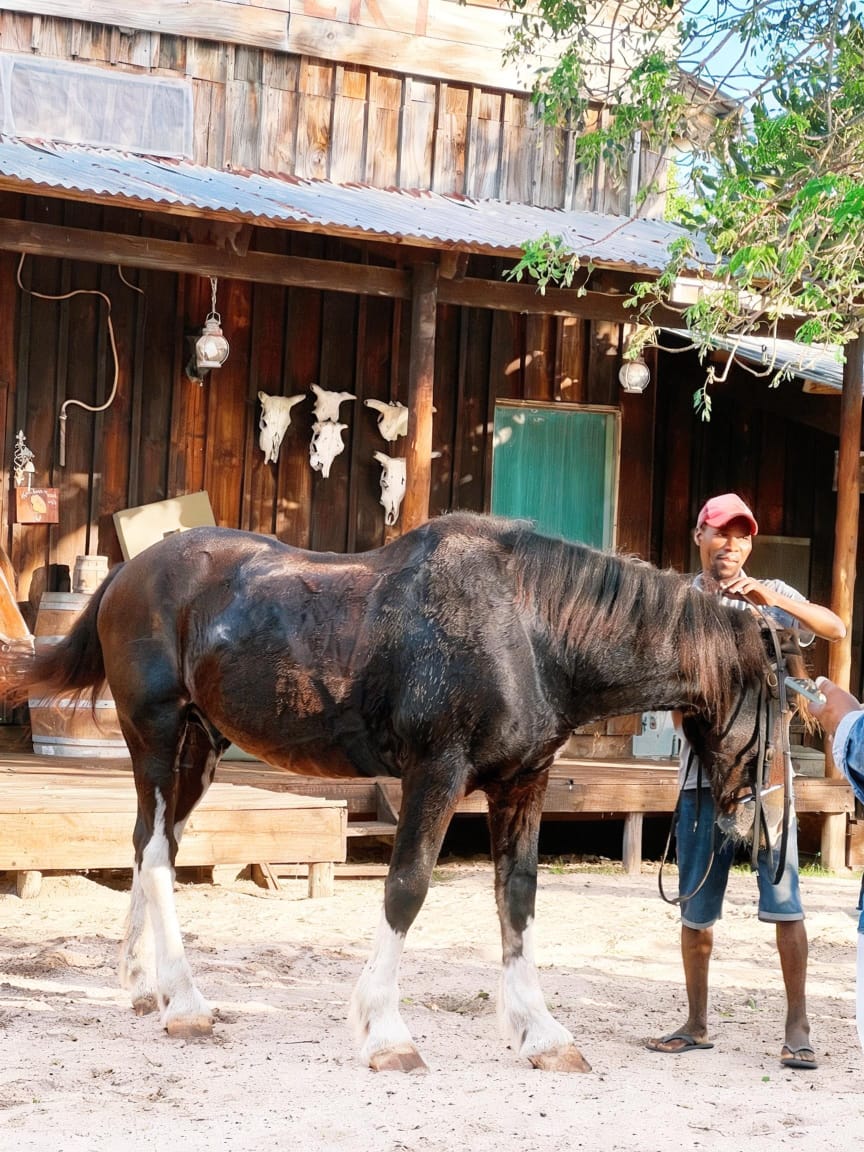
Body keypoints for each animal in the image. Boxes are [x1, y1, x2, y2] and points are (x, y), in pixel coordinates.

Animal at [0, 511, 798, 1073]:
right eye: (781, 711)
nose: (757, 830)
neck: (528, 630)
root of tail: (128, 574)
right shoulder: (434, 774)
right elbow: (407, 887)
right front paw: (385, 1034)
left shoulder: (524, 782)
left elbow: (517, 897)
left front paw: (541, 1034)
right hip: (158, 737)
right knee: (159, 855)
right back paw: (186, 1004)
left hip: (200, 749)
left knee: (150, 845)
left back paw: (146, 986)